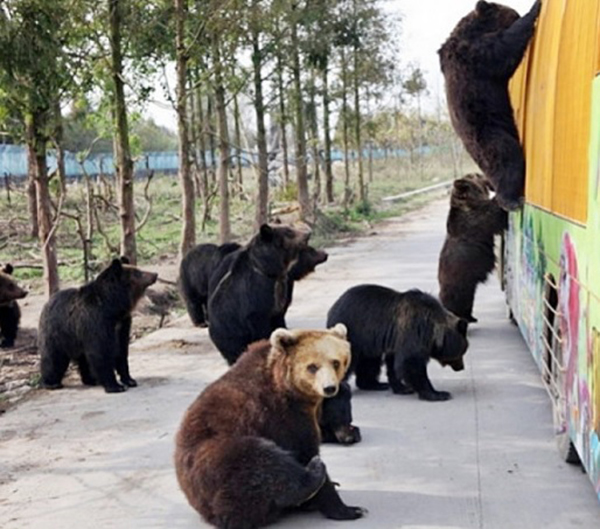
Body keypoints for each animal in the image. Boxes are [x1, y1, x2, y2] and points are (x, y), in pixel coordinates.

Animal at [38, 256, 158, 392]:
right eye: (139, 272)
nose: (155, 274)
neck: (113, 306)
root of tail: (48, 301)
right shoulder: (96, 322)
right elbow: (101, 352)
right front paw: (115, 385)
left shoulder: (122, 324)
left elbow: (121, 351)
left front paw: (130, 380)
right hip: (57, 332)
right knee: (53, 358)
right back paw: (51, 383)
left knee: (83, 358)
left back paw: (90, 379)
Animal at [171, 324, 364, 524]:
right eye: (312, 367)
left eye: (335, 362)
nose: (329, 388)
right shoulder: (282, 415)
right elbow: (304, 449)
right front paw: (348, 509)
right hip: (212, 460)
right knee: (258, 458)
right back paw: (314, 472)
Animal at [206, 222, 310, 364]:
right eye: (289, 231)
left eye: (290, 226)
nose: (307, 233)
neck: (271, 270)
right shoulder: (257, 298)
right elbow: (260, 325)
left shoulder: (278, 297)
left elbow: (279, 317)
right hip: (229, 333)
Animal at [438, 0, 540, 210]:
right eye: (513, 14)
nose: (517, 13)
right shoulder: (474, 54)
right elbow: (504, 48)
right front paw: (534, 9)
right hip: (490, 135)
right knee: (508, 158)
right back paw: (511, 200)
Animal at [438, 173, 508, 322]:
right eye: (476, 176)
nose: (483, 175)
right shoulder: (475, 219)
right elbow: (493, 215)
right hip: (458, 285)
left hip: (468, 288)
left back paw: (471, 318)